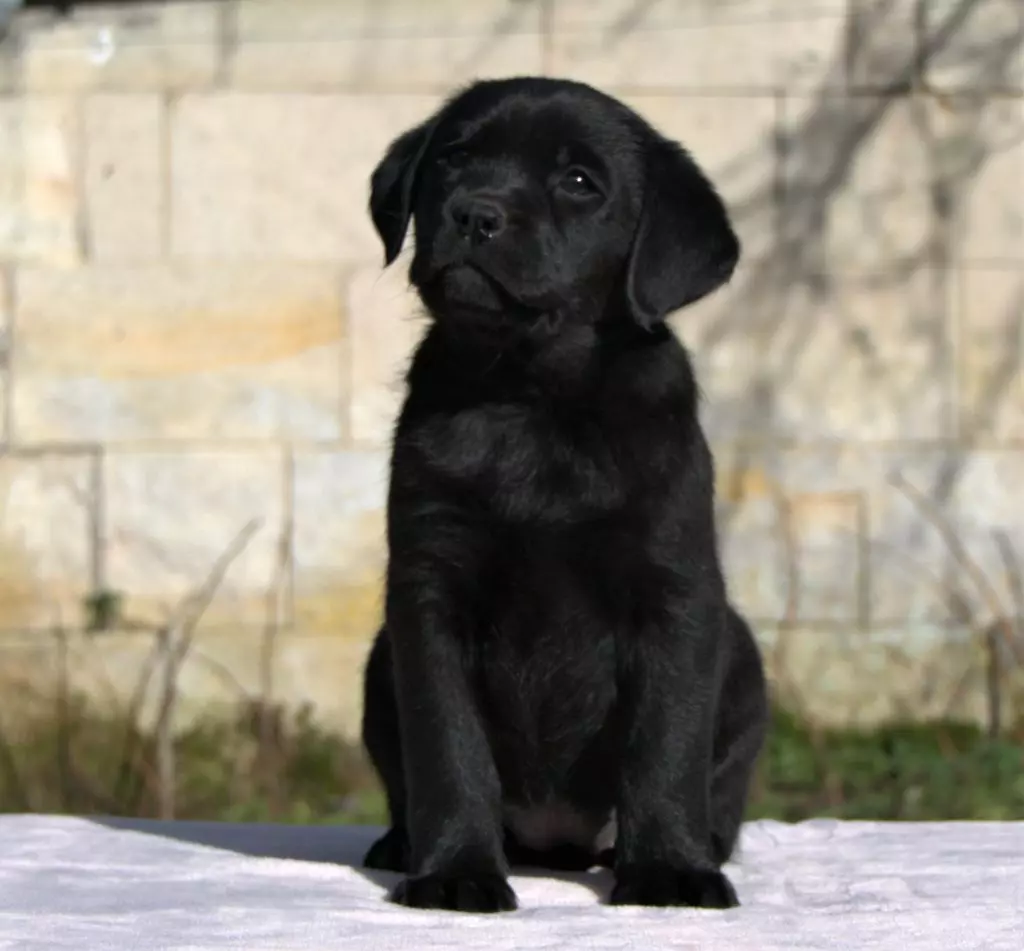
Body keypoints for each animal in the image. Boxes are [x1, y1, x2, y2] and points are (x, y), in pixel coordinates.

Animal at [360, 76, 770, 913]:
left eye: (580, 182)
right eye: (452, 159)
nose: (474, 213)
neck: (531, 396)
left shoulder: (673, 590)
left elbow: (666, 742)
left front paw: (669, 868)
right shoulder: (428, 592)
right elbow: (447, 746)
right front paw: (455, 871)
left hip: (742, 656)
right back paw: (402, 843)